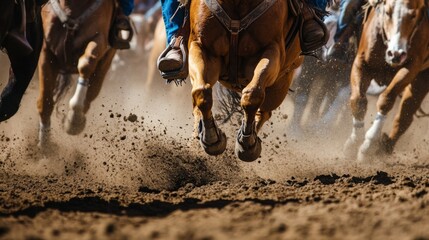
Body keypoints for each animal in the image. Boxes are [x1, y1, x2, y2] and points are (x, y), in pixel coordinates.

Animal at [37, 0, 116, 149]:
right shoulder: (46, 51)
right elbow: (45, 102)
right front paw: (44, 146)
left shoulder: (99, 38)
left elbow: (87, 62)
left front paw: (74, 118)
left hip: (105, 62)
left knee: (91, 92)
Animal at [189, 0, 302, 161]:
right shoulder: (201, 46)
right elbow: (201, 92)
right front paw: (212, 138)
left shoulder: (272, 49)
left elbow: (252, 95)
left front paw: (246, 143)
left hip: (282, 82)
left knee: (264, 111)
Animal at [342, 0, 428, 161]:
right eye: (387, 12)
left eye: (413, 15)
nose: (395, 54)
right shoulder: (361, 63)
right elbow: (358, 101)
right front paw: (353, 143)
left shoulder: (411, 68)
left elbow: (386, 100)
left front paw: (367, 146)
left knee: (404, 115)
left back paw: (384, 148)